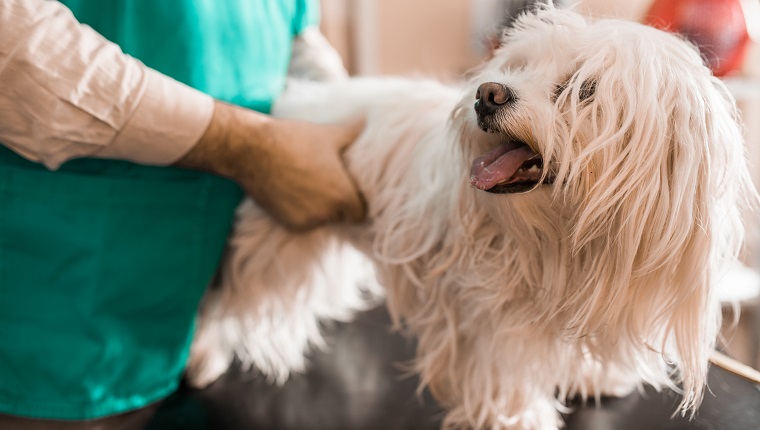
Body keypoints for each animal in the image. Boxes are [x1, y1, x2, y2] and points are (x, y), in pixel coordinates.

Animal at [187, 6, 756, 430]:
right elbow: (500, 367)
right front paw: (514, 417)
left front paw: (591, 375)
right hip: (273, 243)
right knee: (224, 298)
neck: (566, 240)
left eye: (584, 89)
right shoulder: (485, 312)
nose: (488, 93)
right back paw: (200, 355)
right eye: (517, 67)